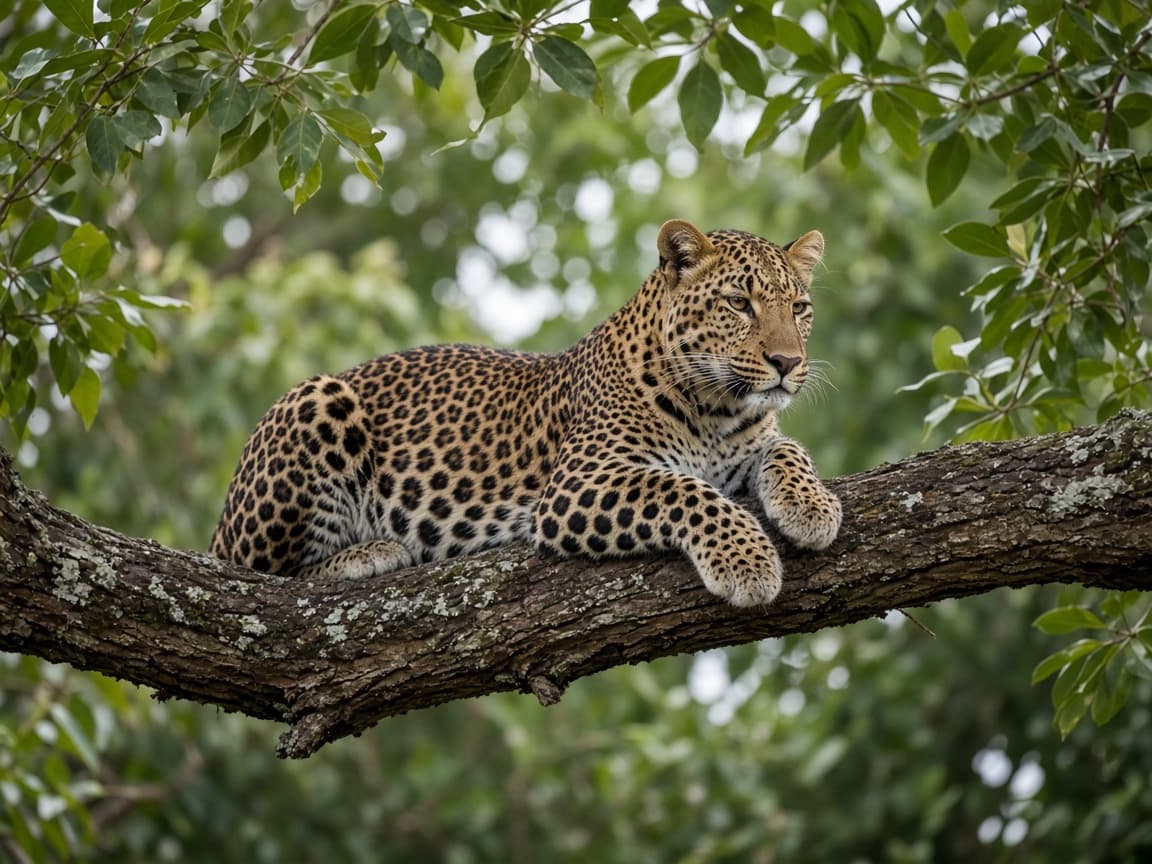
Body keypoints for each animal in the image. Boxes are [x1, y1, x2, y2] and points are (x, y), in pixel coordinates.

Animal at [210, 219, 842, 607]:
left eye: (800, 307)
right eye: (739, 303)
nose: (787, 362)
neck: (719, 408)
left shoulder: (749, 444)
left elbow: (788, 449)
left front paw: (810, 507)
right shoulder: (578, 483)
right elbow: (684, 490)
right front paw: (747, 562)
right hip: (316, 399)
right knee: (263, 576)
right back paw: (372, 552)